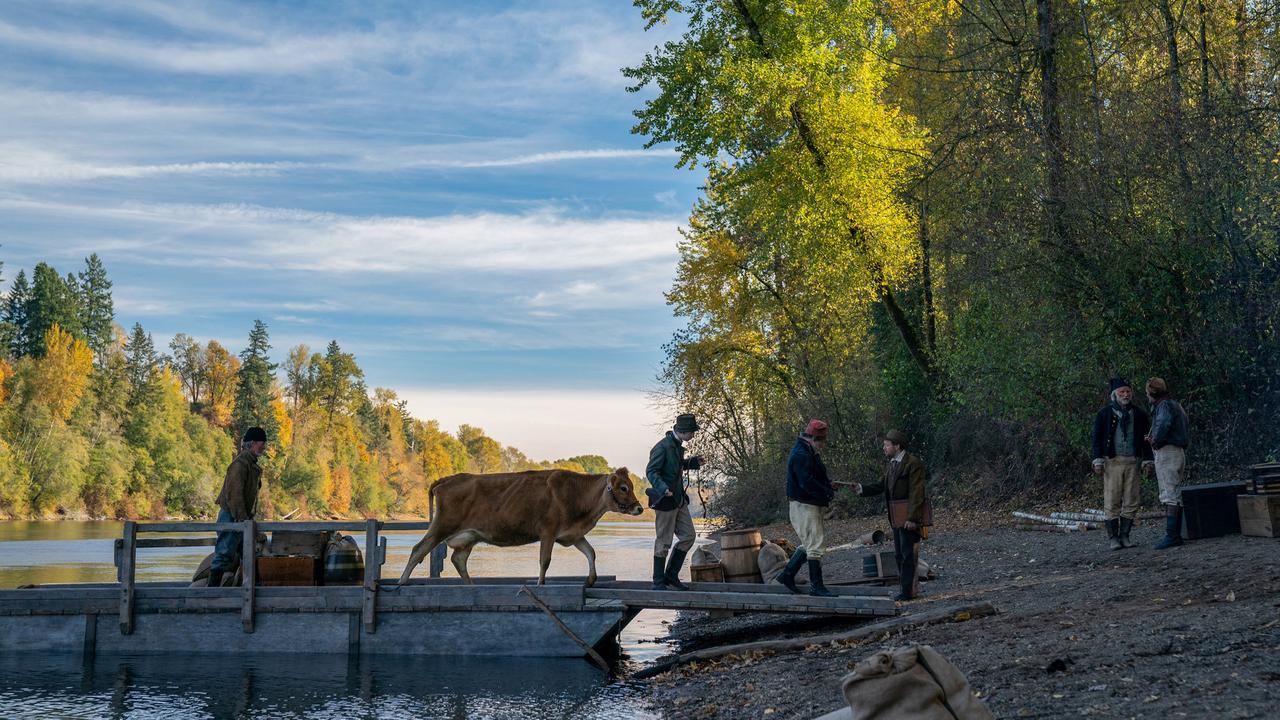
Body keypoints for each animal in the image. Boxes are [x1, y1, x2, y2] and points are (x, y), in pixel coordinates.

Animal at [396, 466, 645, 584]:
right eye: (623, 487)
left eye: (631, 486)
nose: (639, 508)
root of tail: (448, 479)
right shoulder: (548, 531)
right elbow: (545, 561)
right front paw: (539, 584)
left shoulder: (572, 534)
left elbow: (591, 553)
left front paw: (591, 580)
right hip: (442, 525)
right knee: (418, 549)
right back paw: (401, 582)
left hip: (468, 537)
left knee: (459, 560)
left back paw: (471, 585)